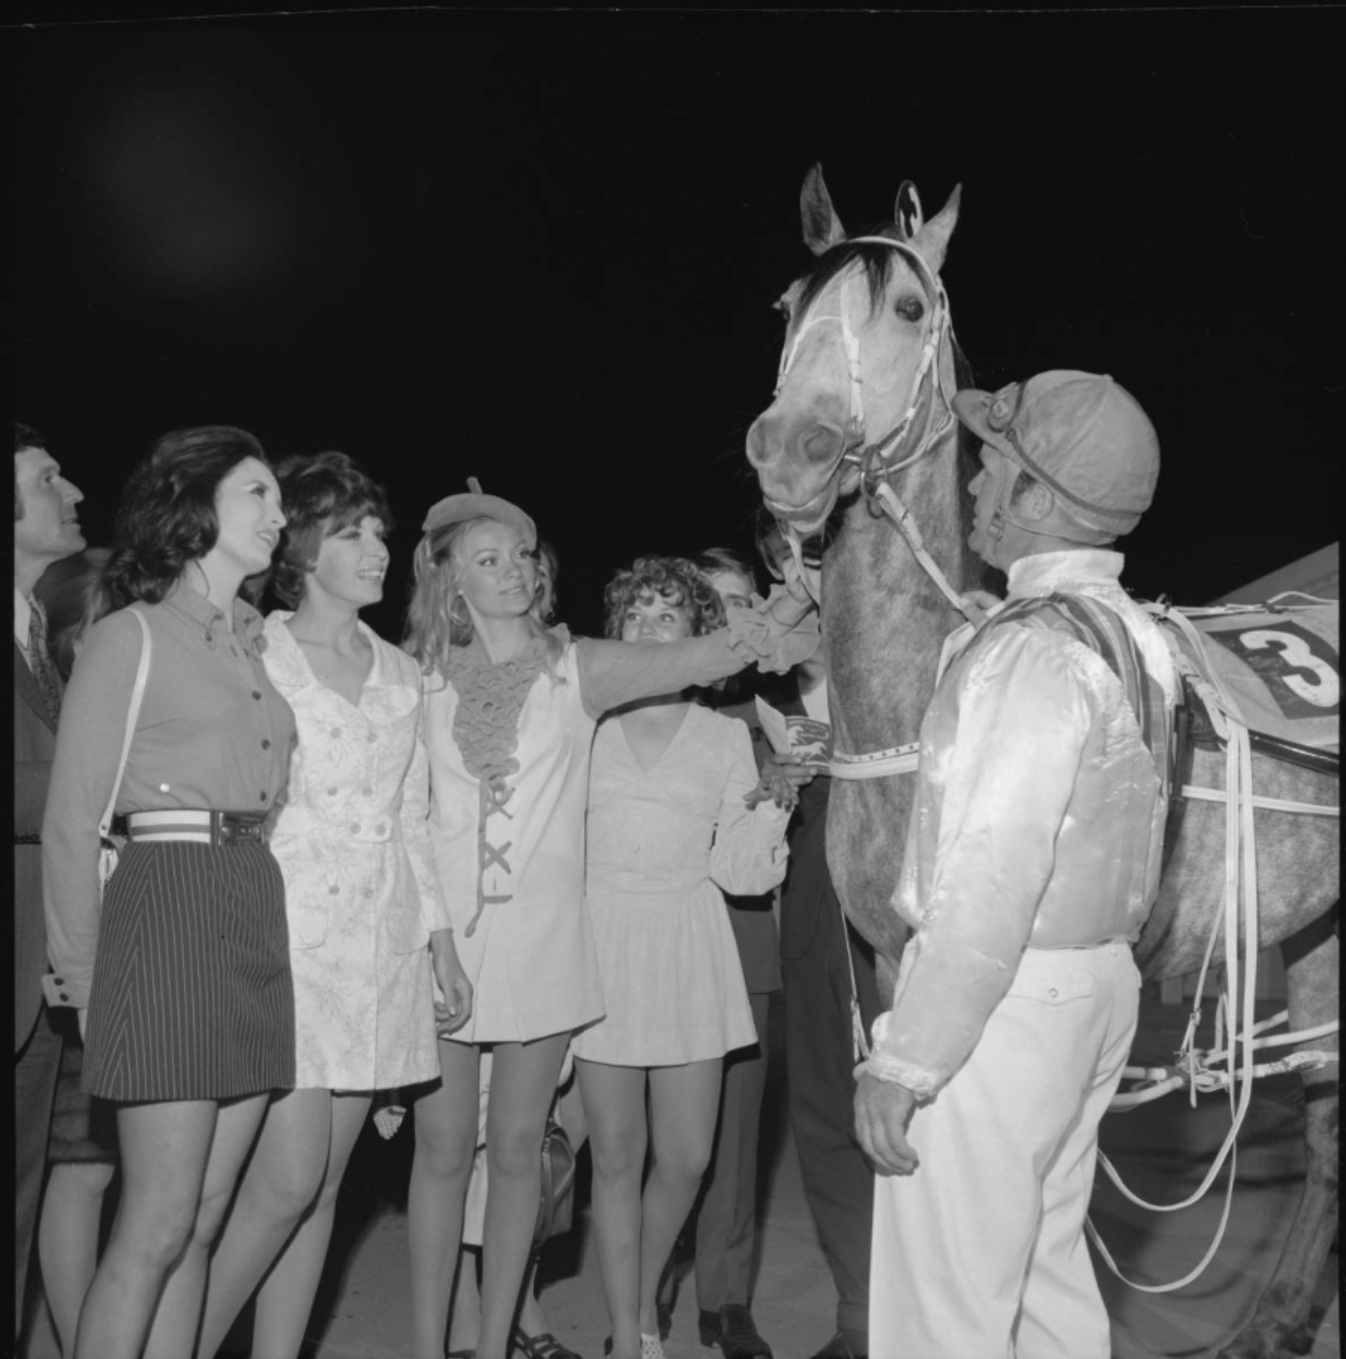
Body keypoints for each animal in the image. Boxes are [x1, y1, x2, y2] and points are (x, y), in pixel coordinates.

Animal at [750, 167, 1337, 1359]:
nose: (787, 450)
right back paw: (1276, 1317)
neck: (927, 693)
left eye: (907, 308)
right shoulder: (897, 969)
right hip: (1310, 930)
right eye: (787, 306)